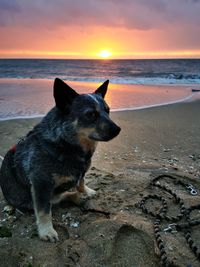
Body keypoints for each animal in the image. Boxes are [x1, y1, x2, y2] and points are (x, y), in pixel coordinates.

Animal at [0, 79, 120, 243]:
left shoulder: (81, 171)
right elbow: (44, 211)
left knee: (60, 197)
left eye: (107, 111)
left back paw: (77, 197)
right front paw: (46, 231)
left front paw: (86, 191)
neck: (67, 146)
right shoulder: (41, 184)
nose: (118, 129)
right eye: (91, 114)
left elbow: (81, 181)